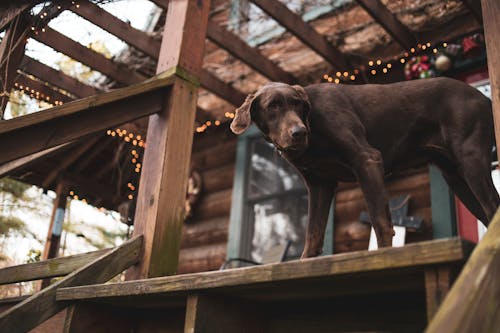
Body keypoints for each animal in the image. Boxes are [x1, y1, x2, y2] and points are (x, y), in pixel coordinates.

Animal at [230, 77, 500, 256]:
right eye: (273, 106)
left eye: (297, 104)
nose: (299, 132)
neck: (313, 126)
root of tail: (485, 98)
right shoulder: (320, 184)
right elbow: (312, 236)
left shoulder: (367, 159)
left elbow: (381, 223)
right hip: (456, 177)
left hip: (471, 160)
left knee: (492, 206)